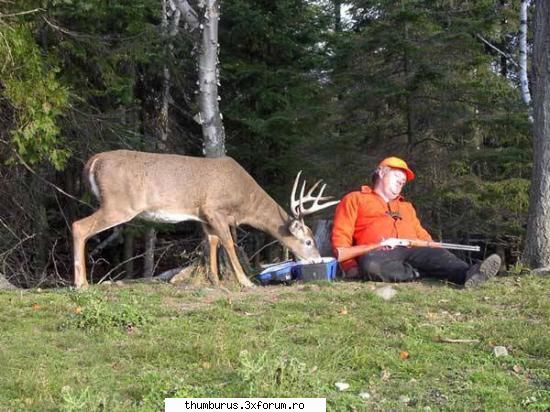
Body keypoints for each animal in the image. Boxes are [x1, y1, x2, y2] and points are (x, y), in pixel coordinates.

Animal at [72, 150, 340, 288]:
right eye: (308, 241)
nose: (317, 259)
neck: (242, 201)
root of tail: (93, 161)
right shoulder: (215, 209)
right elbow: (230, 243)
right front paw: (245, 281)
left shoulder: (203, 215)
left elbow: (212, 242)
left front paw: (215, 280)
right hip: (119, 204)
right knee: (78, 226)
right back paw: (81, 284)